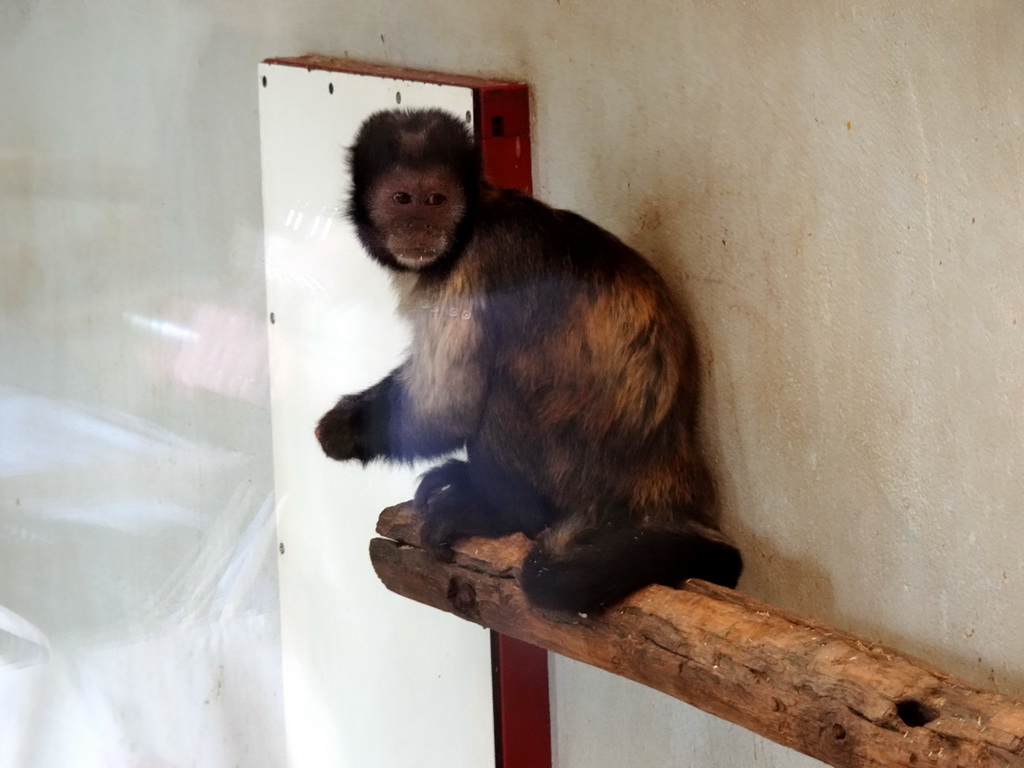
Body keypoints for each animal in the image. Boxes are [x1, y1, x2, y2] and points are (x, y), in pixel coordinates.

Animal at [315, 107, 741, 614]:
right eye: (402, 199)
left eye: (436, 200)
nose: (418, 226)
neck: (474, 221)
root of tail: (668, 471)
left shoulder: (476, 264)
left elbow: (447, 410)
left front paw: (340, 431)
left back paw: (505, 512)